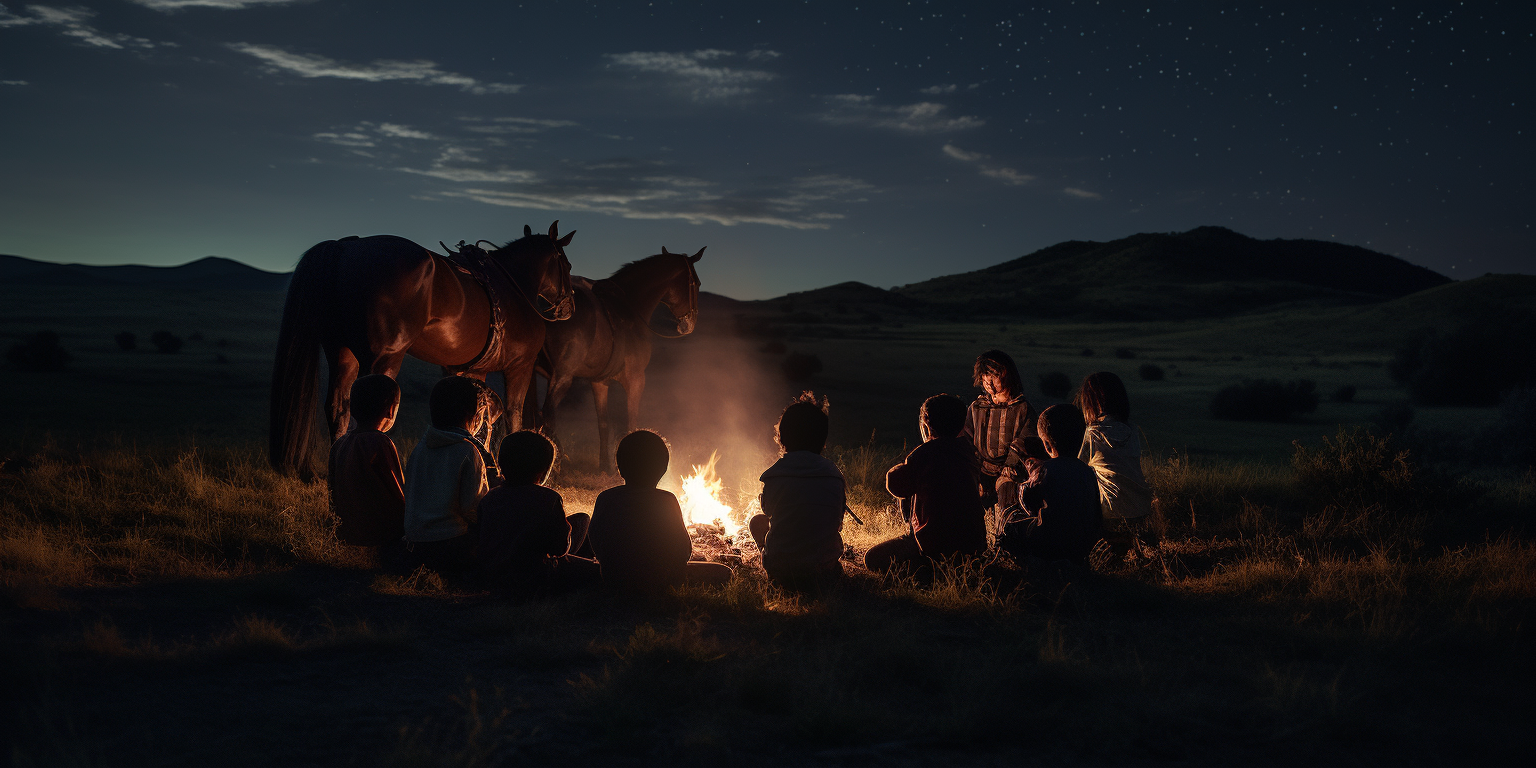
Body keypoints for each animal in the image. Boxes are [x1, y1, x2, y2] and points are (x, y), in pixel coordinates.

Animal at [270, 221, 577, 479]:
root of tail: (347, 247)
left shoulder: (473, 371)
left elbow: (477, 419)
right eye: (568, 265)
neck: (514, 287)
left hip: (342, 355)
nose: (568, 308)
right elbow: (514, 416)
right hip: (382, 359)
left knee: (338, 409)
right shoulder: (519, 367)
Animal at [525, 248, 700, 470]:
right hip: (562, 377)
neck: (629, 308)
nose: (690, 324)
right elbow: (631, 421)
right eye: (696, 283)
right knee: (547, 413)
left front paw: (605, 466)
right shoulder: (636, 379)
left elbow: (604, 423)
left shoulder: (599, 382)